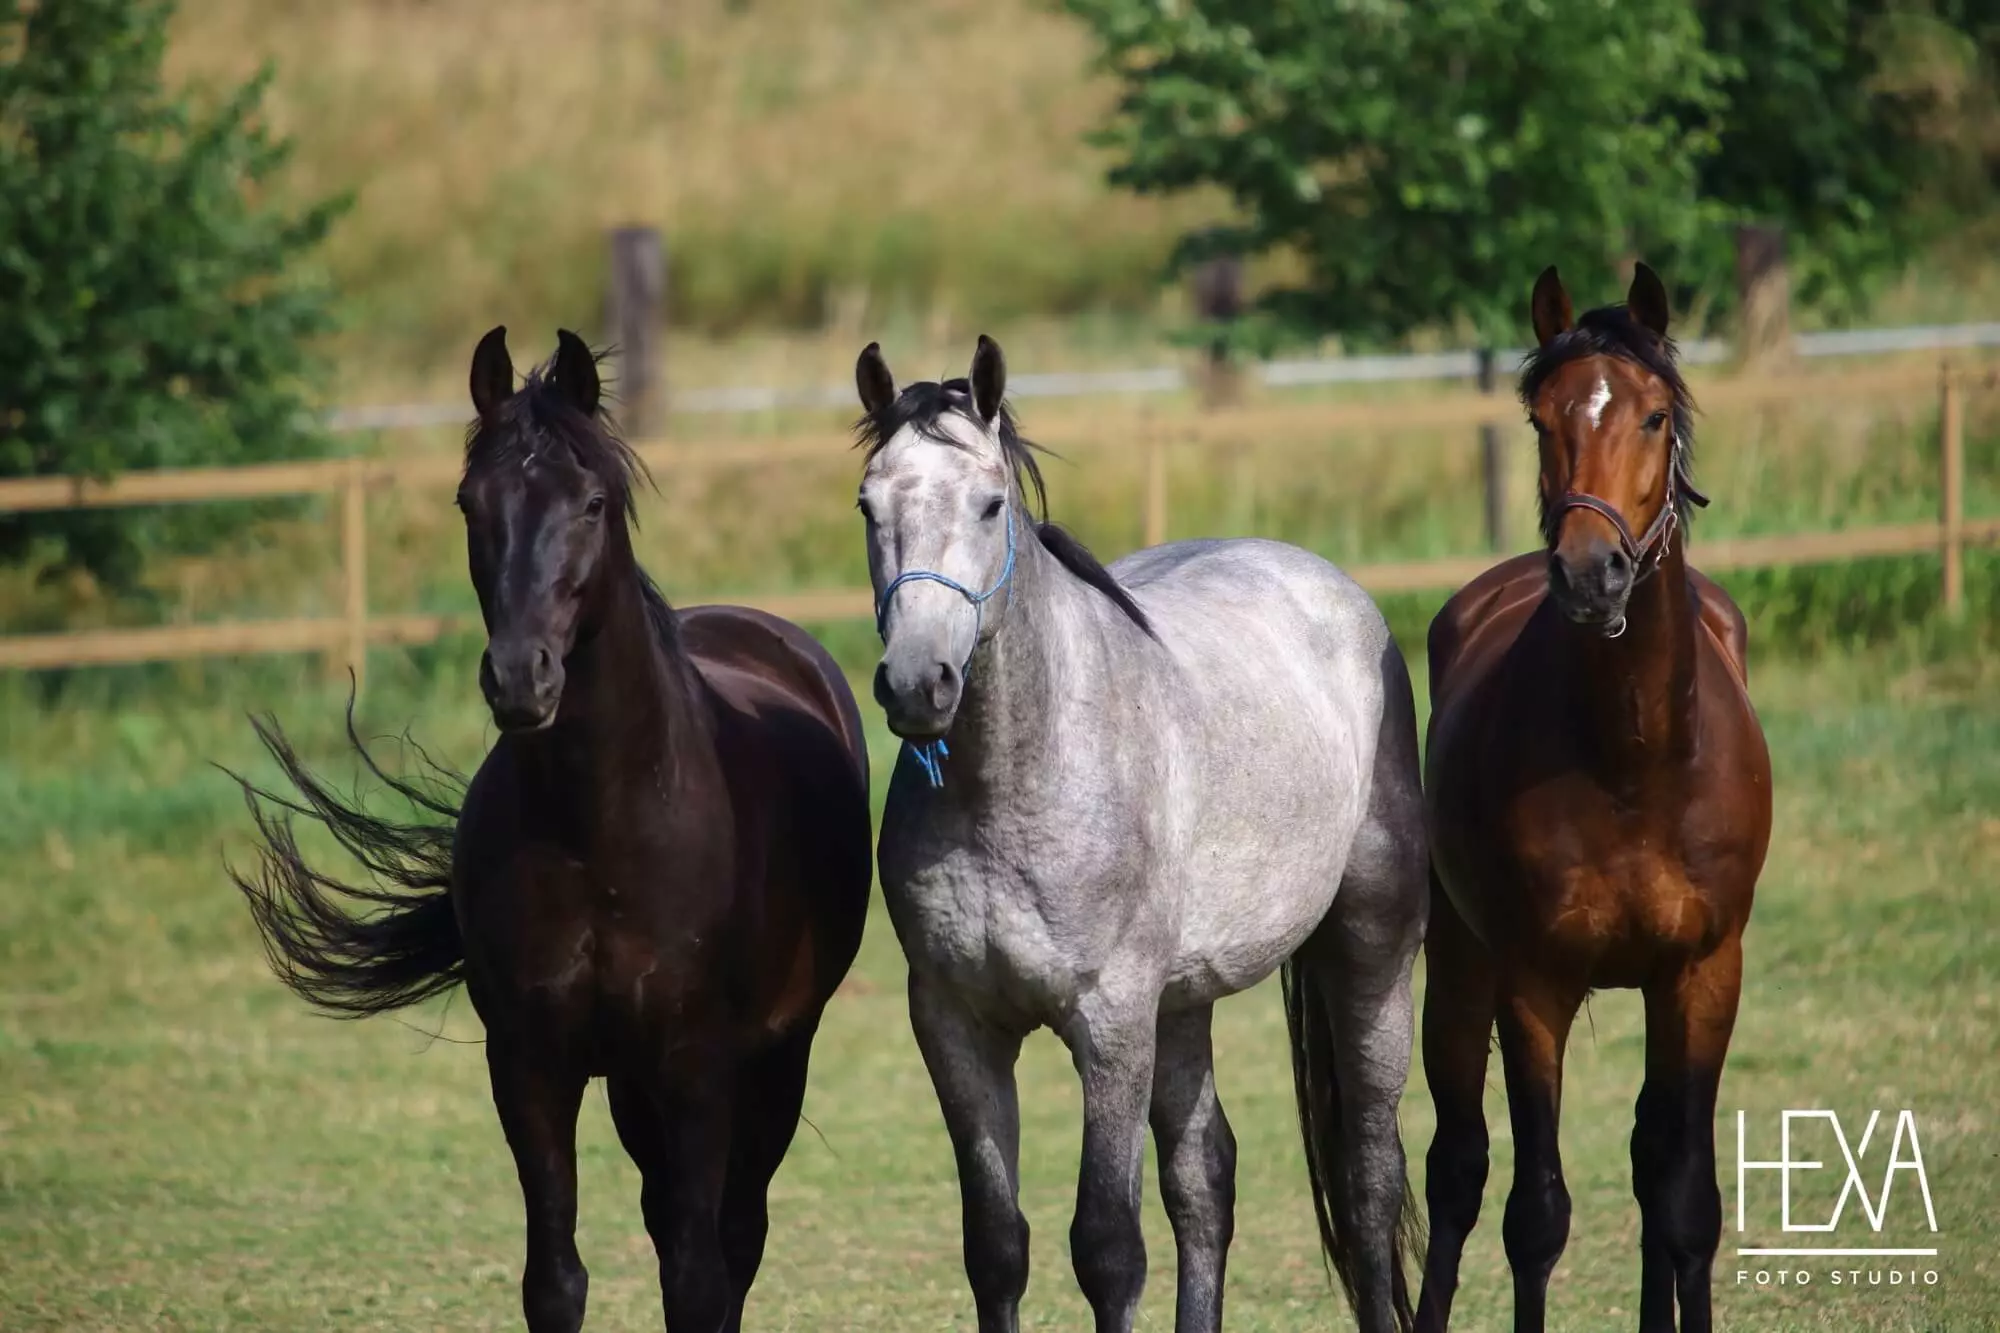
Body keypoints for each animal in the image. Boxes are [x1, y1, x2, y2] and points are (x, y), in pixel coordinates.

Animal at [227, 328, 873, 1333]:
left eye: (592, 503)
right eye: (471, 501)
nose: (519, 678)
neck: (600, 831)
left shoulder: (697, 1067)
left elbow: (699, 1277)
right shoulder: (530, 1062)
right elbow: (556, 1277)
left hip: (774, 1061)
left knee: (733, 1237)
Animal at [853, 335, 1429, 1333]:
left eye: (990, 503)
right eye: (868, 504)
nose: (917, 683)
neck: (1013, 782)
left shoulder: (1111, 1021)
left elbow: (1108, 1247)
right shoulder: (957, 1025)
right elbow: (996, 1246)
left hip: (1371, 952)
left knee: (1368, 1174)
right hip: (1185, 1000)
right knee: (1205, 1179)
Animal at [1414, 265, 1773, 1333]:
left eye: (1653, 416)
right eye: (1542, 419)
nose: (1588, 571)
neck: (1635, 759)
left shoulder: (1704, 973)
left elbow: (1687, 1199)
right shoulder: (1533, 983)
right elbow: (1535, 1216)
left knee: (1654, 1158)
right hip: (1457, 972)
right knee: (1456, 1167)